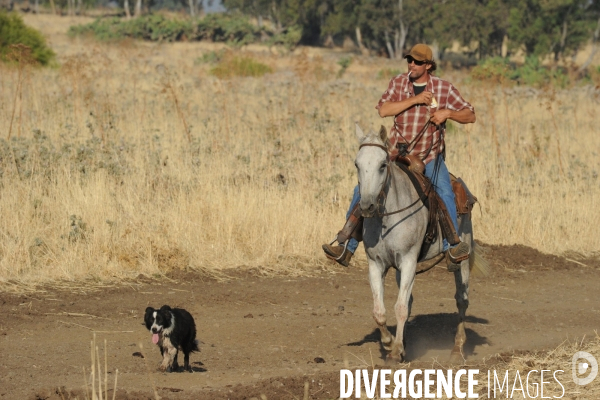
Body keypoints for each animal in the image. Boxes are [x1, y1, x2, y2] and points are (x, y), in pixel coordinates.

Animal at [352, 124, 488, 362]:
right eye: (357, 164)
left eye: (382, 165)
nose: (367, 206)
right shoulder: (376, 264)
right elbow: (380, 311)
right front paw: (390, 343)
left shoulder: (408, 261)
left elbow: (400, 307)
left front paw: (396, 350)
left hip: (463, 255)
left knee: (462, 299)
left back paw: (457, 349)